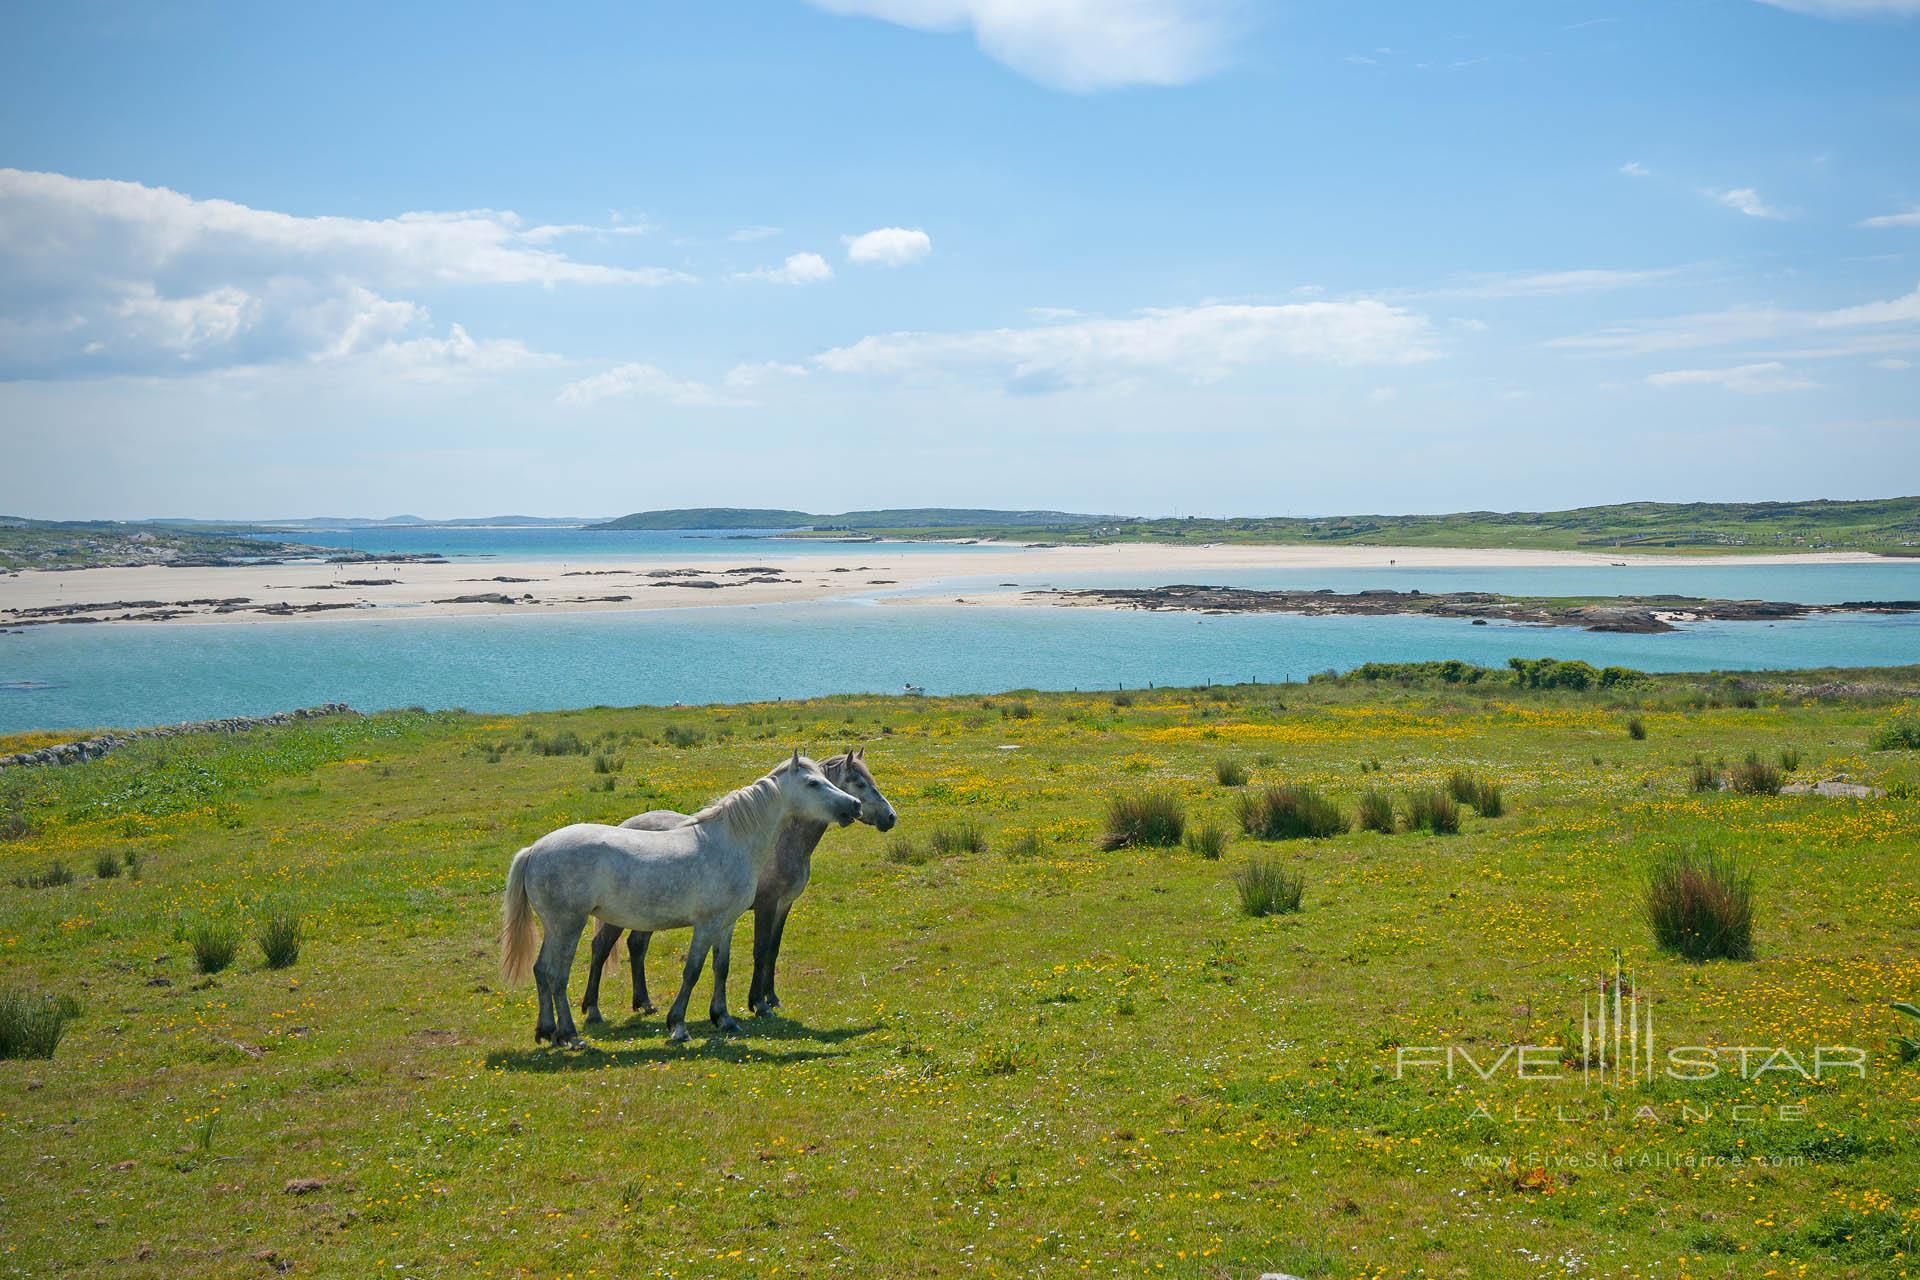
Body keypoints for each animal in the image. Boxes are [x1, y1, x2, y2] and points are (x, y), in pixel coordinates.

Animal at [503, 756, 856, 1043]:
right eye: (813, 783)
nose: (853, 805)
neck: (730, 842)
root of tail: (534, 850)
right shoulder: (706, 925)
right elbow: (693, 970)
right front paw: (678, 1026)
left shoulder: (725, 924)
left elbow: (721, 967)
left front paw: (723, 1019)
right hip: (568, 925)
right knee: (557, 975)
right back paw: (570, 1035)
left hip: (557, 927)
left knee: (542, 971)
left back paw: (548, 1032)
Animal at [579, 744, 894, 1028]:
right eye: (859, 783)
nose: (890, 817)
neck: (780, 844)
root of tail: (626, 824)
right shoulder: (766, 905)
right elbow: (761, 950)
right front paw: (758, 1003)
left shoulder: (784, 905)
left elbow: (773, 950)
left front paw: (771, 998)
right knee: (601, 947)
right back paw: (593, 1010)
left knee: (637, 945)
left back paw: (644, 1002)